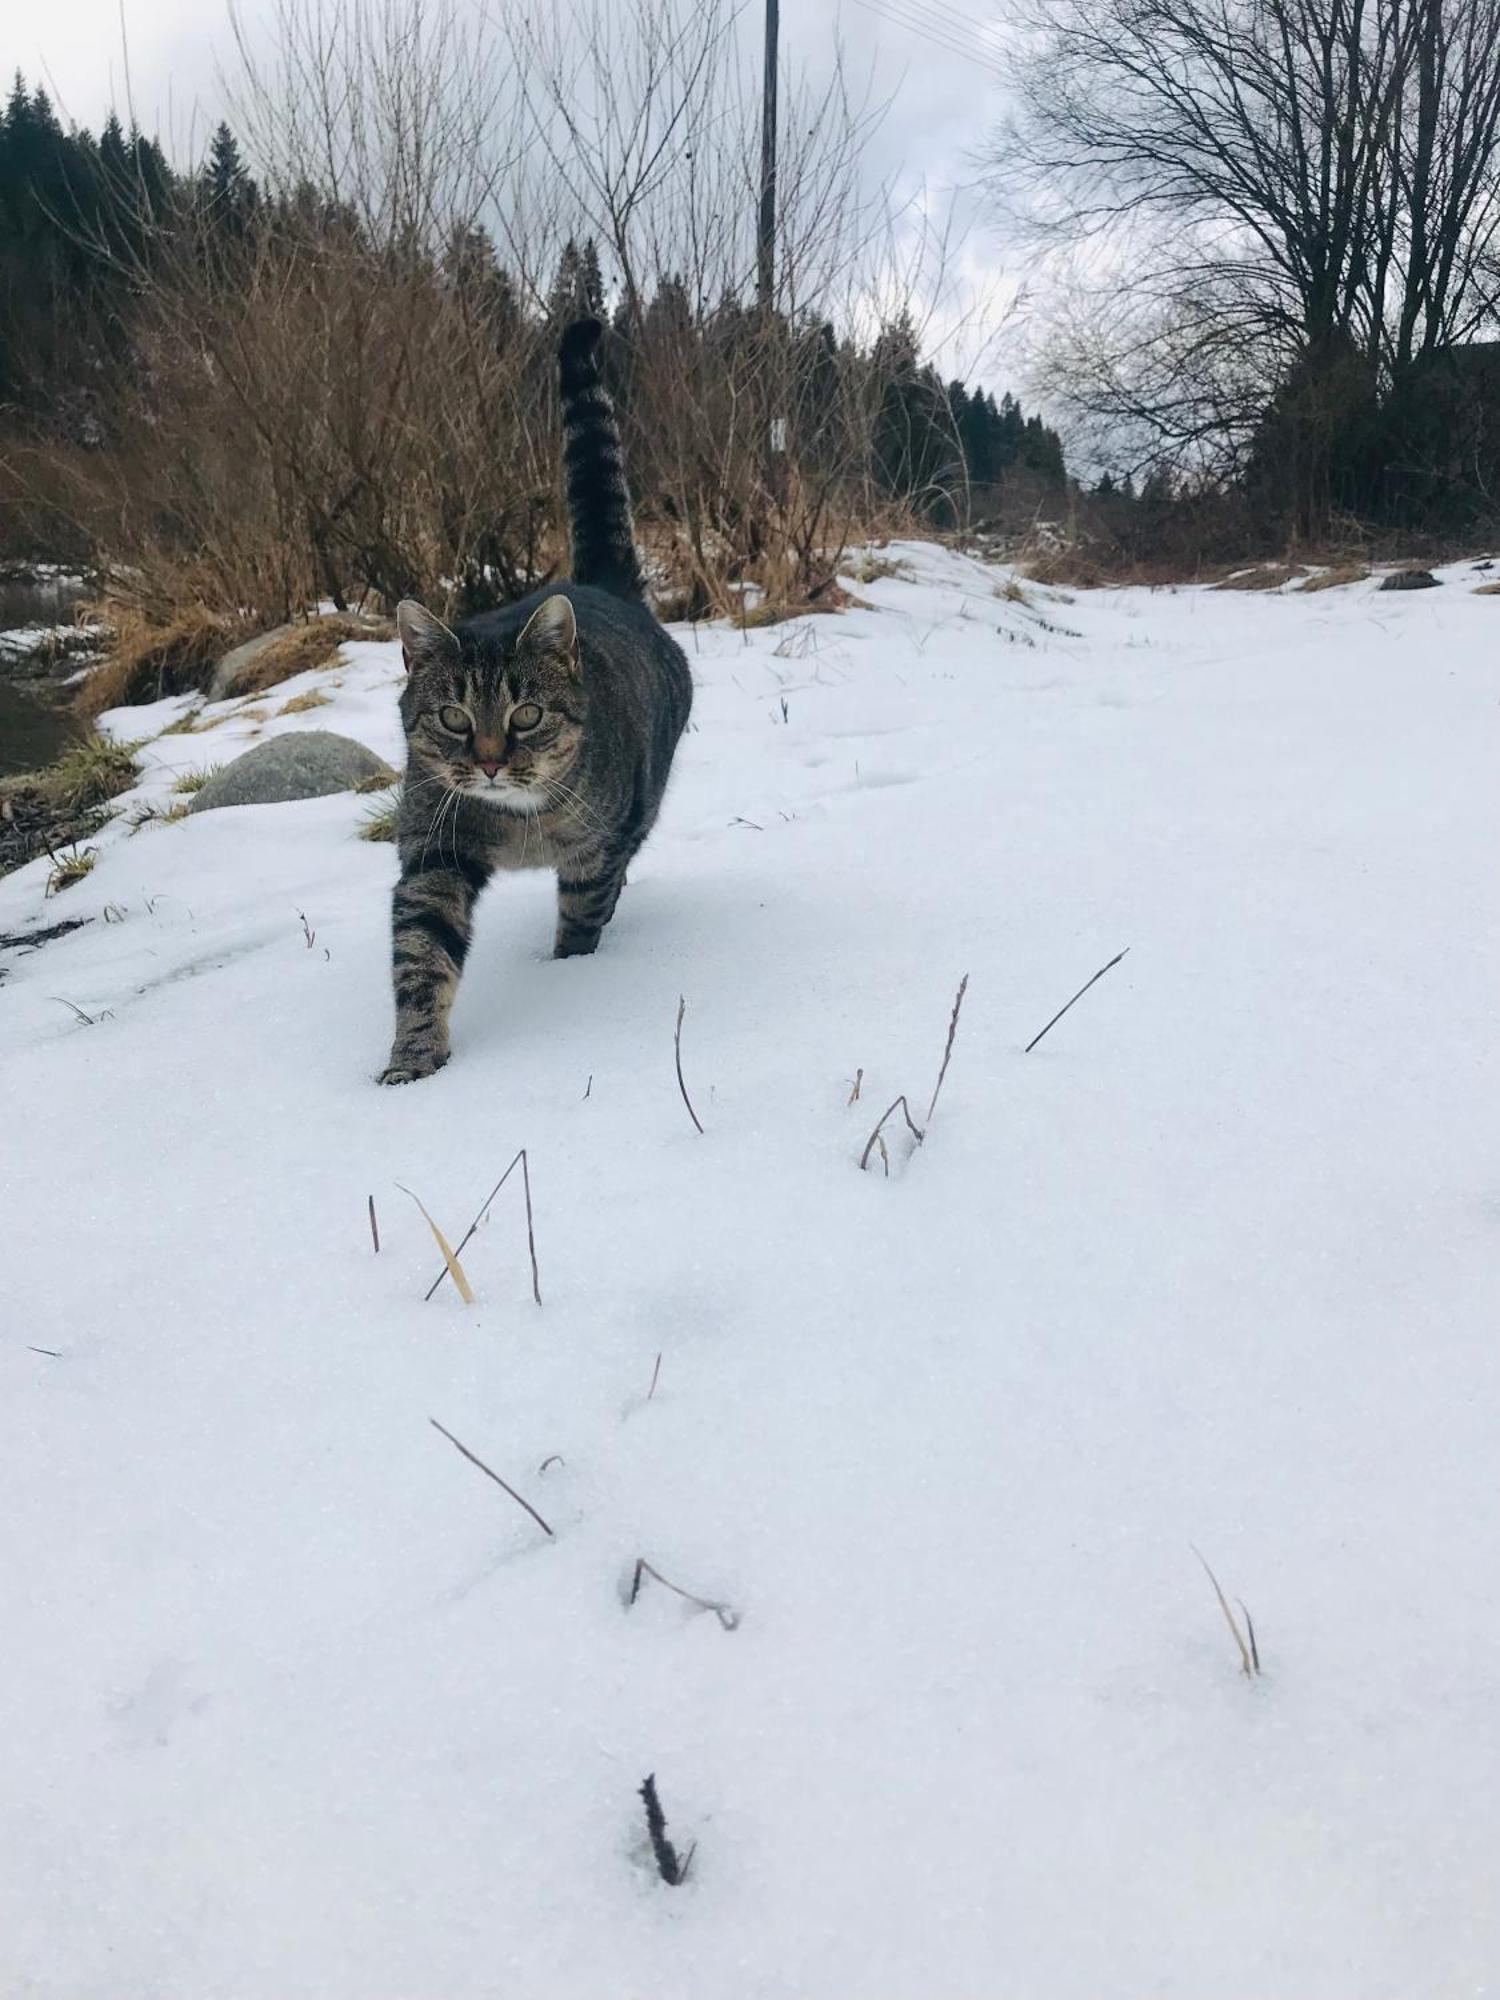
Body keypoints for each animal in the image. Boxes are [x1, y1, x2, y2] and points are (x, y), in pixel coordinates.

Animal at [382, 320, 700, 1088]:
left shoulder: (594, 854)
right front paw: (412, 1061)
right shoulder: (434, 850)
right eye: (454, 717)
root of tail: (606, 588)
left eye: (525, 715)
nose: (492, 764)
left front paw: (569, 980)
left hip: (641, 807)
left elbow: (581, 919)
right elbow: (421, 955)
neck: (518, 823)